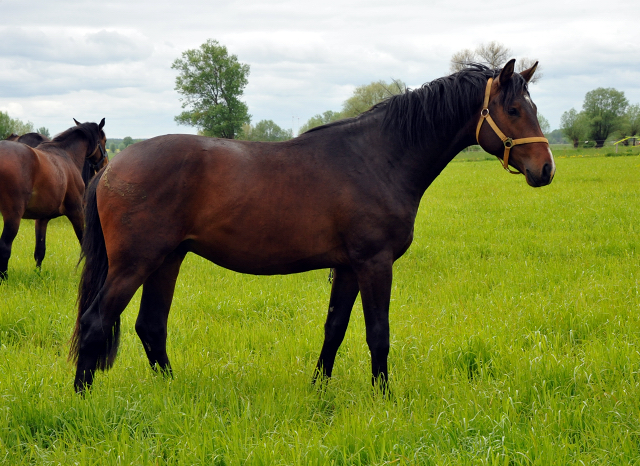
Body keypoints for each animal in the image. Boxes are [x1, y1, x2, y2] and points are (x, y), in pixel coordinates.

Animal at [0, 118, 106, 278]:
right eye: (104, 140)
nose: (105, 164)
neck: (66, 155)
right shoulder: (77, 212)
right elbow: (84, 243)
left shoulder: (42, 219)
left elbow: (40, 251)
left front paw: (38, 275)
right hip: (13, 216)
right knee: (5, 247)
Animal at [69, 59, 552, 394]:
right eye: (513, 109)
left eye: (532, 107)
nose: (545, 169)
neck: (378, 158)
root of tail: (111, 169)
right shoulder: (374, 263)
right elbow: (378, 334)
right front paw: (386, 398)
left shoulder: (349, 267)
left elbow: (334, 329)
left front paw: (319, 390)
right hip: (135, 263)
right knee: (96, 321)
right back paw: (82, 398)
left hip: (167, 260)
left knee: (150, 327)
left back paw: (174, 392)